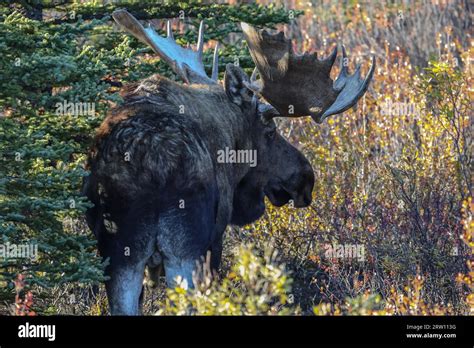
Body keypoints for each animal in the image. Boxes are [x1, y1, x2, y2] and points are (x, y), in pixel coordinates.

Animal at [84, 9, 374, 316]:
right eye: (271, 132)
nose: (306, 179)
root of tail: (150, 164)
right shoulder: (214, 238)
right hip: (183, 247)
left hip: (120, 253)